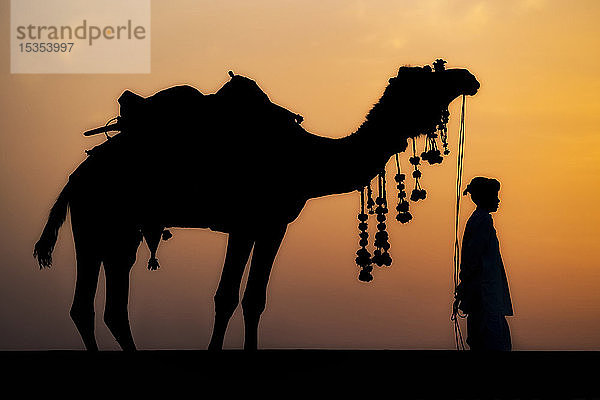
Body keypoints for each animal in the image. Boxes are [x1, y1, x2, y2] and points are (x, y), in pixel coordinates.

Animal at [34, 61, 478, 352]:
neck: (306, 159)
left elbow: (253, 300)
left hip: (116, 230)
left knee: (105, 305)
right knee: (88, 306)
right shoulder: (249, 222)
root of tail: (77, 176)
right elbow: (227, 297)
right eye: (428, 77)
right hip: (96, 219)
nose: (468, 78)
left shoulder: (269, 225)